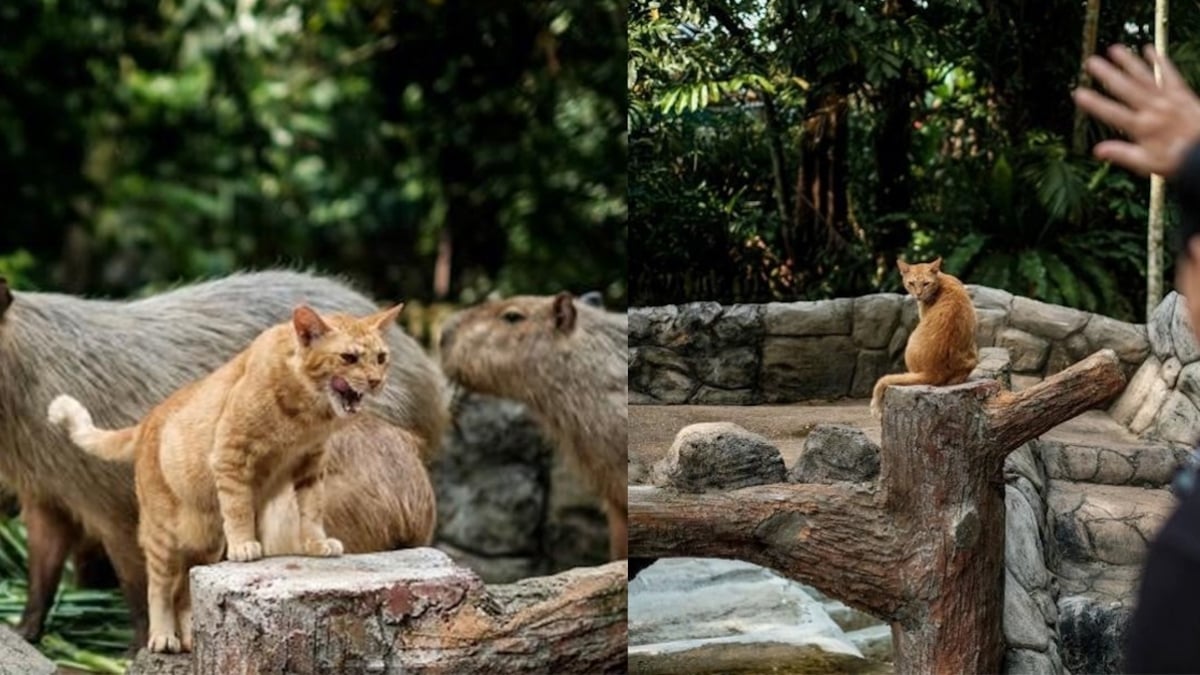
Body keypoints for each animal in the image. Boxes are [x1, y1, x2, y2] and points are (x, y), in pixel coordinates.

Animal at [48, 302, 403, 648]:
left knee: (183, 591)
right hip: (164, 537)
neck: (306, 416)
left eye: (381, 358)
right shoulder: (232, 456)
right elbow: (239, 510)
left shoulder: (311, 466)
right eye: (349, 358)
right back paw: (163, 636)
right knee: (159, 587)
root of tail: (148, 419)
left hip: (205, 541)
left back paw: (191, 637)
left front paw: (316, 543)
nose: (376, 381)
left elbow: (312, 510)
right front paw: (245, 545)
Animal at [868, 255, 979, 417]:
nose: (918, 294)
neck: (942, 280)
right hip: (973, 352)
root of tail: (934, 371)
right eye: (911, 283)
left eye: (926, 284)